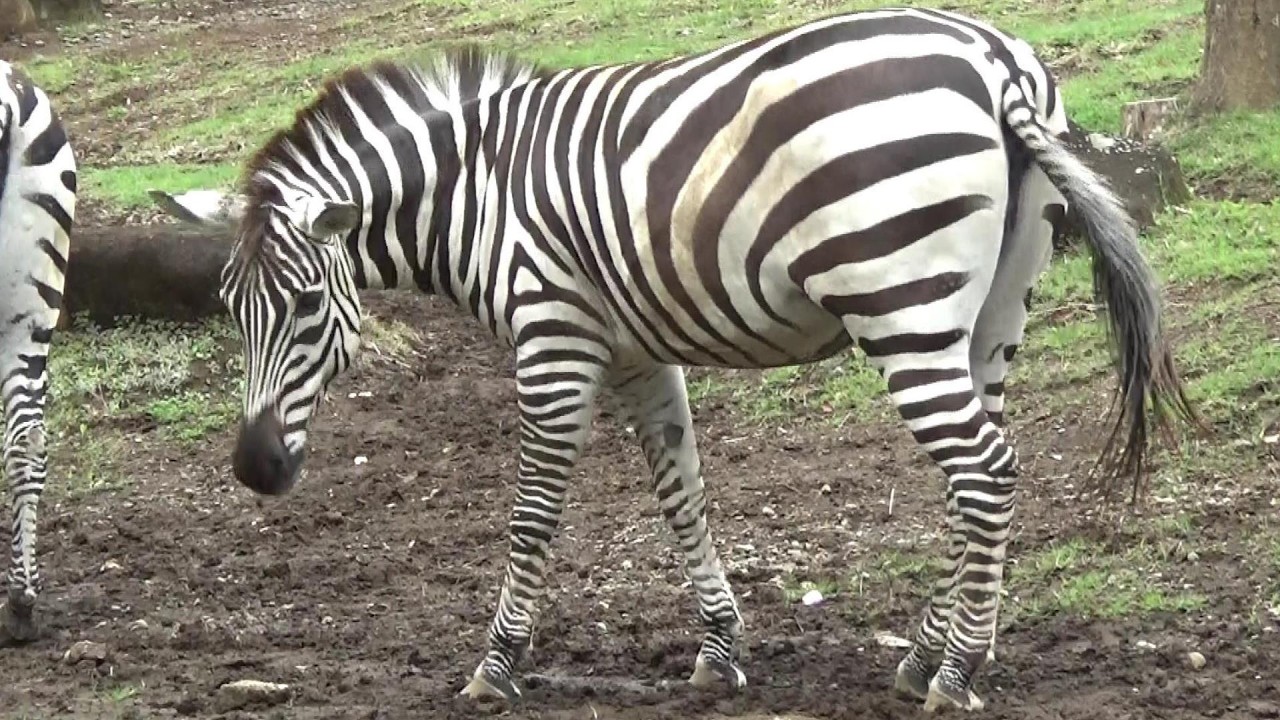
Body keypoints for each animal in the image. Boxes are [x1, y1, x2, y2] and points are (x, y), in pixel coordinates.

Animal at [150, 6, 1196, 712]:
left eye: (307, 306)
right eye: (232, 312)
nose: (255, 469)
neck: (474, 194)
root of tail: (995, 59)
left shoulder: (553, 337)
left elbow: (532, 514)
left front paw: (497, 666)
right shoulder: (633, 353)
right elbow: (681, 495)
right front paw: (721, 649)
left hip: (900, 304)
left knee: (984, 469)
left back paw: (956, 670)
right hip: (992, 312)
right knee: (972, 475)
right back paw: (925, 654)